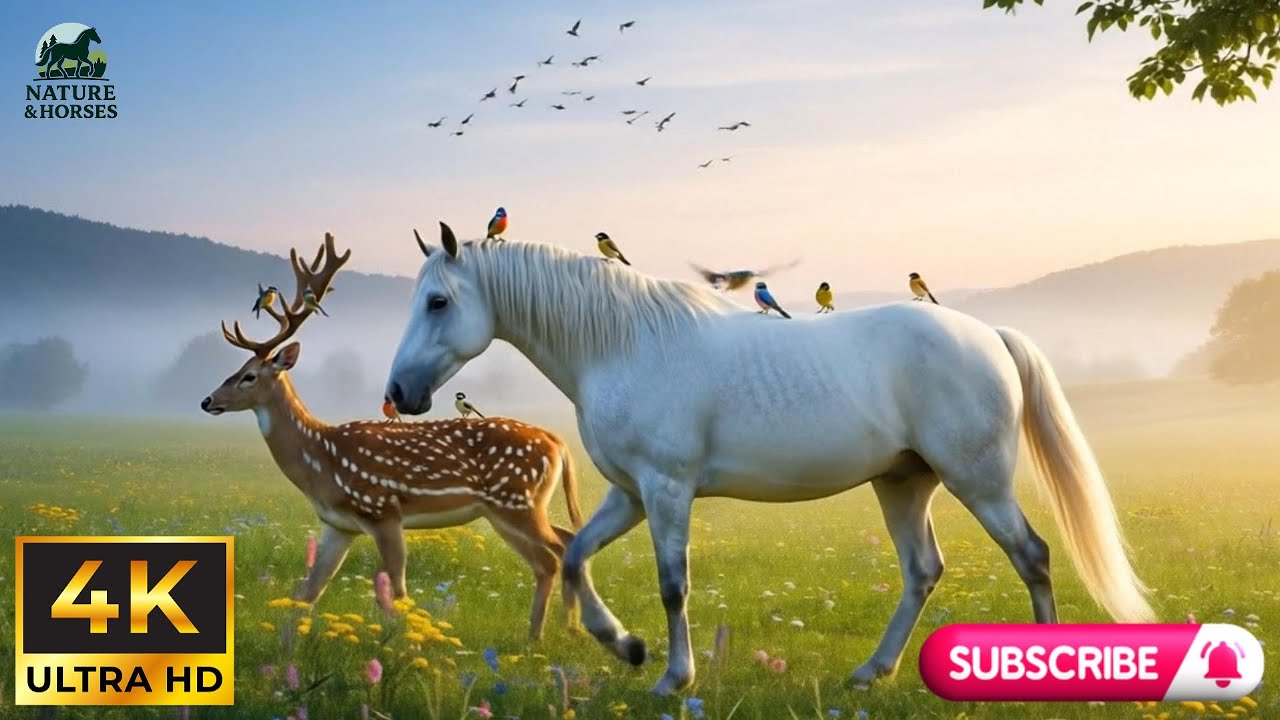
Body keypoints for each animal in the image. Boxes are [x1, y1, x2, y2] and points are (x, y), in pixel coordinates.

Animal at [385, 223, 1154, 695]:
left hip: (979, 481)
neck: (624, 345)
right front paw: (624, 646)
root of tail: (988, 335)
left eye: (438, 301)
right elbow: (574, 556)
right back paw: (871, 672)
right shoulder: (629, 494)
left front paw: (673, 677)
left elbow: (673, 585)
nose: (399, 393)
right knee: (923, 571)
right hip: (903, 484)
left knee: (1031, 555)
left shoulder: (666, 490)